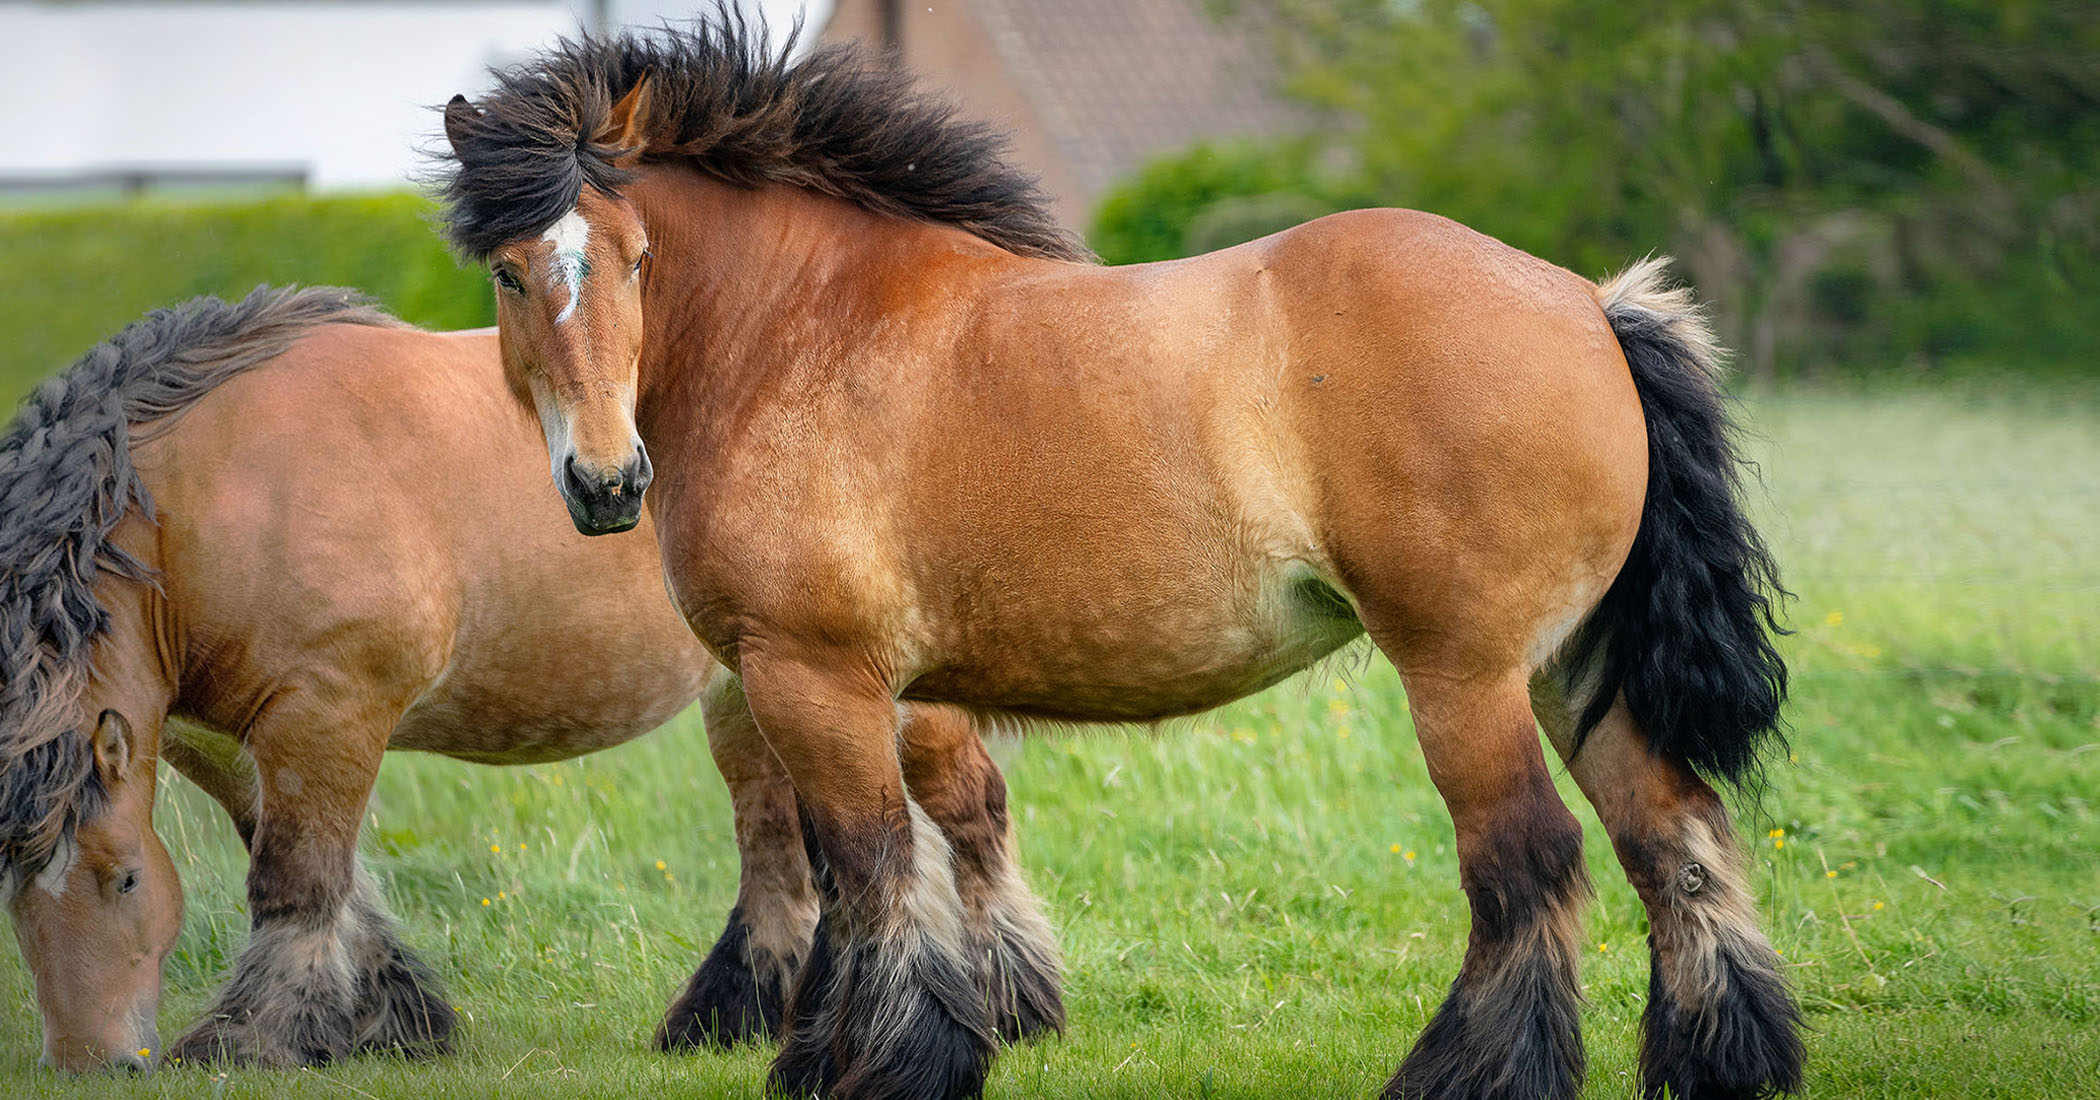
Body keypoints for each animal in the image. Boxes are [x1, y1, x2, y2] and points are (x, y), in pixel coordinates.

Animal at [0, 288, 1060, 1072]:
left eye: (122, 876)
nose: (87, 1064)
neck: (216, 494)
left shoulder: (327, 712)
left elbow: (295, 883)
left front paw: (249, 1040)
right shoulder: (221, 739)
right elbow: (330, 882)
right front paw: (393, 1019)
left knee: (967, 810)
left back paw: (1014, 1003)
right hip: (754, 695)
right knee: (781, 851)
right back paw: (736, 1016)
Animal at [433, 17, 1804, 1100]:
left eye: (636, 259)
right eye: (509, 272)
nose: (606, 483)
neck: (796, 332)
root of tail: (1588, 304)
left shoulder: (809, 676)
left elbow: (867, 867)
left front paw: (890, 1062)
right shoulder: (862, 690)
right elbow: (866, 865)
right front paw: (832, 1053)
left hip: (1464, 677)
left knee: (1529, 863)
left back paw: (1469, 1073)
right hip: (1573, 668)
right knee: (1669, 832)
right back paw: (1720, 1056)